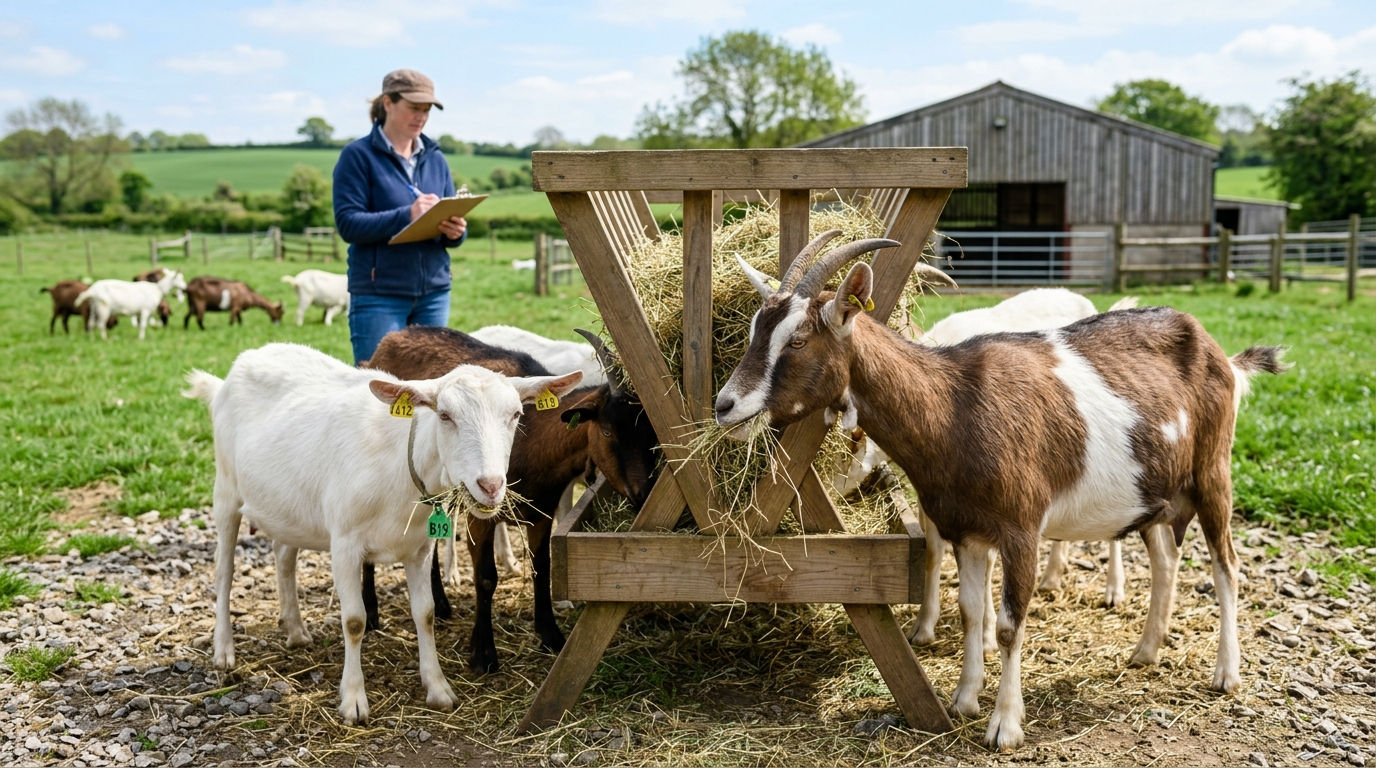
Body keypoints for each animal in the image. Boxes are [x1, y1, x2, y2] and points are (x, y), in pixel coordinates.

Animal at [182, 343, 581, 724]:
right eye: (444, 415)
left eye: (515, 415)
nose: (491, 485)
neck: (402, 468)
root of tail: (235, 370)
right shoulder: (344, 543)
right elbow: (355, 621)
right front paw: (354, 701)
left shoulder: (419, 548)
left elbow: (425, 613)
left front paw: (438, 688)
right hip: (226, 491)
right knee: (223, 572)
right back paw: (224, 650)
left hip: (287, 506)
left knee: (284, 556)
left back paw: (295, 630)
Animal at [362, 326, 659, 673]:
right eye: (608, 431)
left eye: (651, 434)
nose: (643, 494)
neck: (533, 437)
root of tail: (393, 337)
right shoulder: (480, 513)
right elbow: (486, 577)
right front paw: (483, 654)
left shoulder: (542, 510)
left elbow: (543, 566)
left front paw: (550, 634)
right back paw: (370, 613)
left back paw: (441, 603)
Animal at [718, 230, 1286, 749]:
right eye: (754, 331)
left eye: (796, 340)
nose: (725, 405)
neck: (953, 408)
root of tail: (1222, 356)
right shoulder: (965, 531)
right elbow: (972, 611)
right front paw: (964, 700)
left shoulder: (1021, 529)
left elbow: (1012, 623)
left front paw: (1004, 727)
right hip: (1153, 490)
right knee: (1166, 558)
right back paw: (1146, 650)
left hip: (1213, 474)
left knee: (1227, 566)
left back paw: (1226, 675)